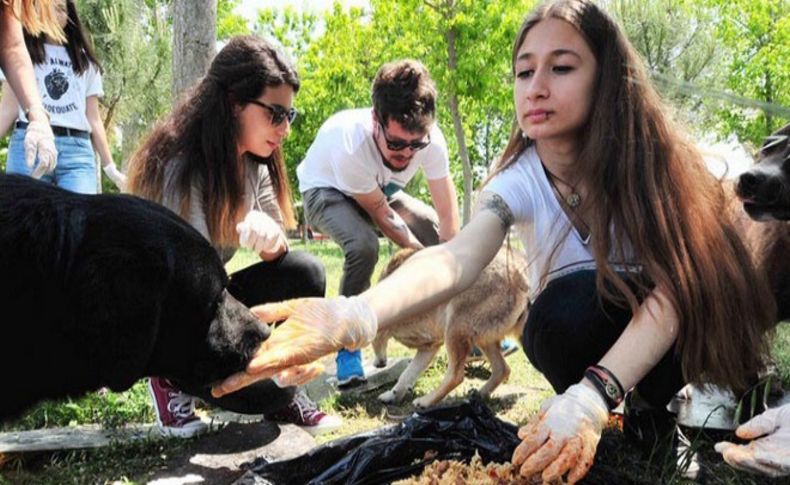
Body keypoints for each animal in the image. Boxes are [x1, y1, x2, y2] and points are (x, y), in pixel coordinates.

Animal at [372, 244, 532, 406]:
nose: (378, 365)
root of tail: (522, 272)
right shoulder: (429, 346)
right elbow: (407, 374)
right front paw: (393, 395)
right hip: (484, 340)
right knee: (502, 369)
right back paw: (478, 395)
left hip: (455, 329)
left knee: (456, 376)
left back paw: (426, 401)